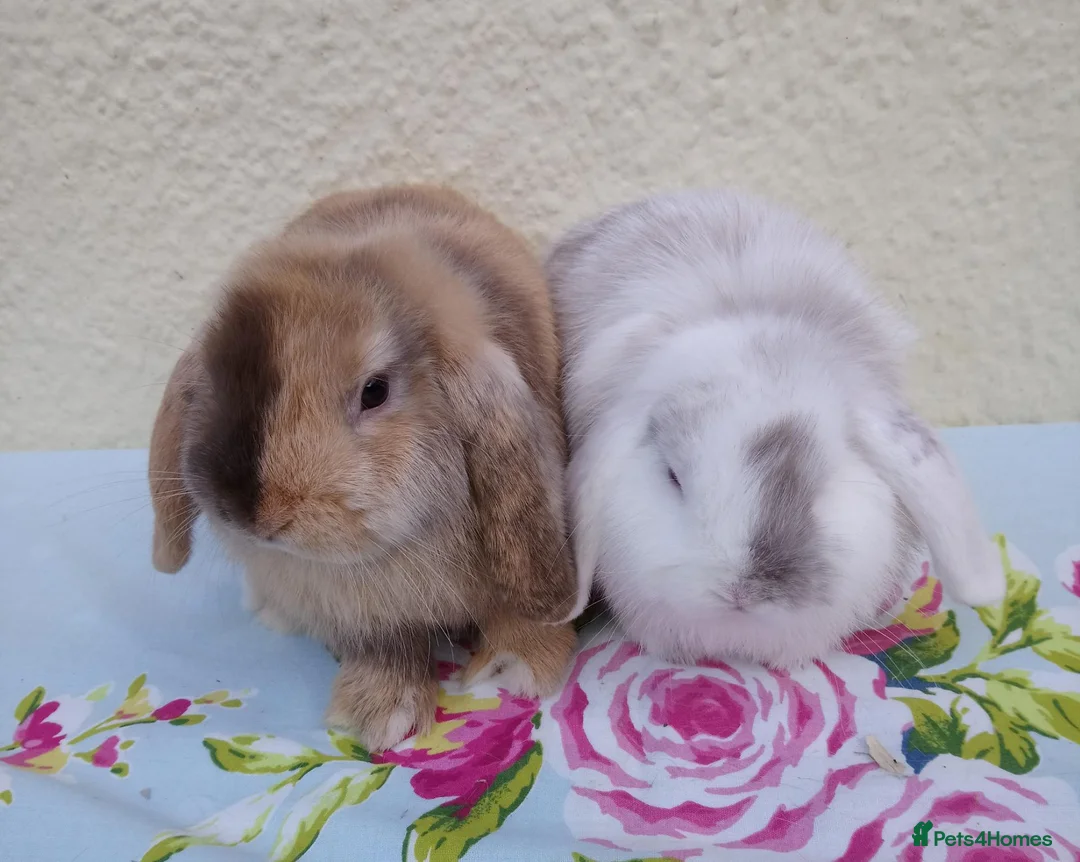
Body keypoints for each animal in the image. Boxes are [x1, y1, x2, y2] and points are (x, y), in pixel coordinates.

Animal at [148, 184, 583, 750]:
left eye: (374, 391)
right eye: (216, 378)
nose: (253, 516)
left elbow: (515, 609)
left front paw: (515, 668)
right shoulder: (367, 615)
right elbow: (387, 644)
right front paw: (378, 713)